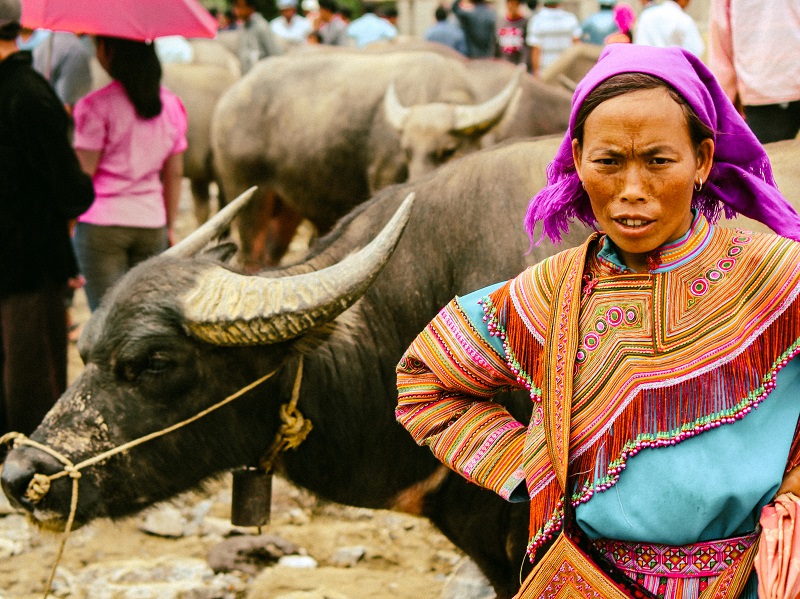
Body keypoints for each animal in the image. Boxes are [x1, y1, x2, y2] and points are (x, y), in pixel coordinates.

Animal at [212, 50, 524, 268]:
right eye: (407, 151)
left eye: (447, 150)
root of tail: (229, 100)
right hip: (248, 197)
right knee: (251, 256)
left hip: (287, 206)